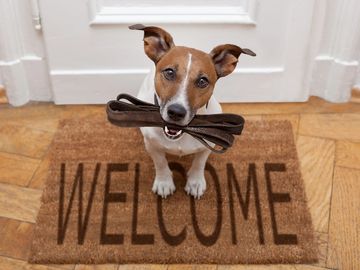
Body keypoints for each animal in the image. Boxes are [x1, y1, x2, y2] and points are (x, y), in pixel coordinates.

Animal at [131, 23, 255, 198]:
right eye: (169, 72)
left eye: (203, 81)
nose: (176, 112)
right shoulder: (152, 145)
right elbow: (160, 162)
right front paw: (164, 182)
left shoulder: (208, 145)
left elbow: (199, 163)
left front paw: (195, 182)